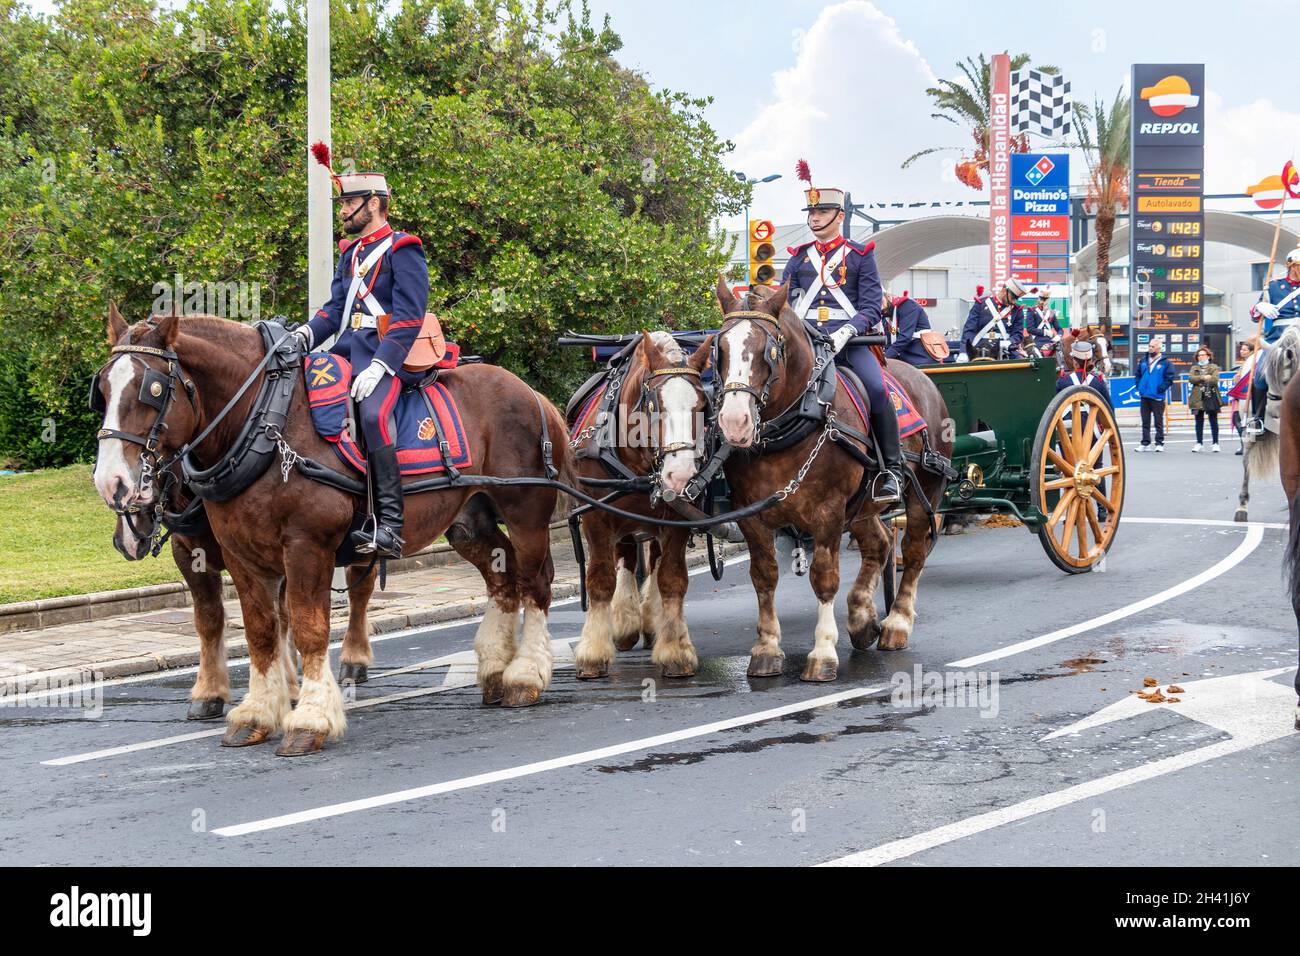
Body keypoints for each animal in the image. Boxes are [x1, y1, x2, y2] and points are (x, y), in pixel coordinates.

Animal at [91, 306, 574, 754]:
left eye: (153, 389)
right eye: (103, 389)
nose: (112, 483)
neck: (267, 421)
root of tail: (529, 391)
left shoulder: (307, 546)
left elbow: (309, 628)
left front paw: (309, 717)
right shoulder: (240, 553)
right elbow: (258, 632)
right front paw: (256, 713)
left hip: (525, 512)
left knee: (536, 584)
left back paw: (525, 675)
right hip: (471, 521)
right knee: (502, 579)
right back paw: (495, 670)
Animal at [569, 332, 712, 676]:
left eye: (702, 405)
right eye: (654, 405)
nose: (680, 475)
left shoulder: (676, 519)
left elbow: (672, 579)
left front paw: (675, 650)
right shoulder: (597, 517)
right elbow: (600, 580)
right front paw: (593, 654)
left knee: (654, 562)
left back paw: (649, 623)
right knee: (626, 559)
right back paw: (625, 624)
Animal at [707, 278, 951, 681]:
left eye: (768, 350)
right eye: (720, 348)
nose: (734, 422)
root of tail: (920, 377)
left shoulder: (829, 511)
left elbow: (824, 577)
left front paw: (822, 652)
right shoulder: (751, 516)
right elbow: (763, 576)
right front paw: (767, 648)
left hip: (924, 491)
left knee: (914, 550)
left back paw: (897, 623)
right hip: (864, 506)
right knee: (880, 544)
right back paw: (861, 618)